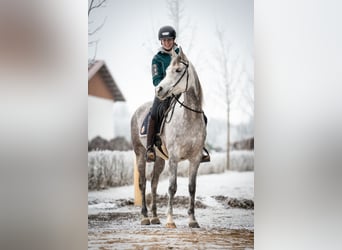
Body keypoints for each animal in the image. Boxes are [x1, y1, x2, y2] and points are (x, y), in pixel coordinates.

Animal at [130, 48, 206, 229]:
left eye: (178, 70)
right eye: (166, 71)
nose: (159, 89)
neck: (189, 117)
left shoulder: (195, 159)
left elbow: (192, 188)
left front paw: (192, 220)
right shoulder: (174, 158)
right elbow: (172, 187)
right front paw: (170, 220)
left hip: (159, 160)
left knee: (153, 183)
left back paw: (155, 217)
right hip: (140, 154)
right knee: (143, 183)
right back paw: (145, 217)